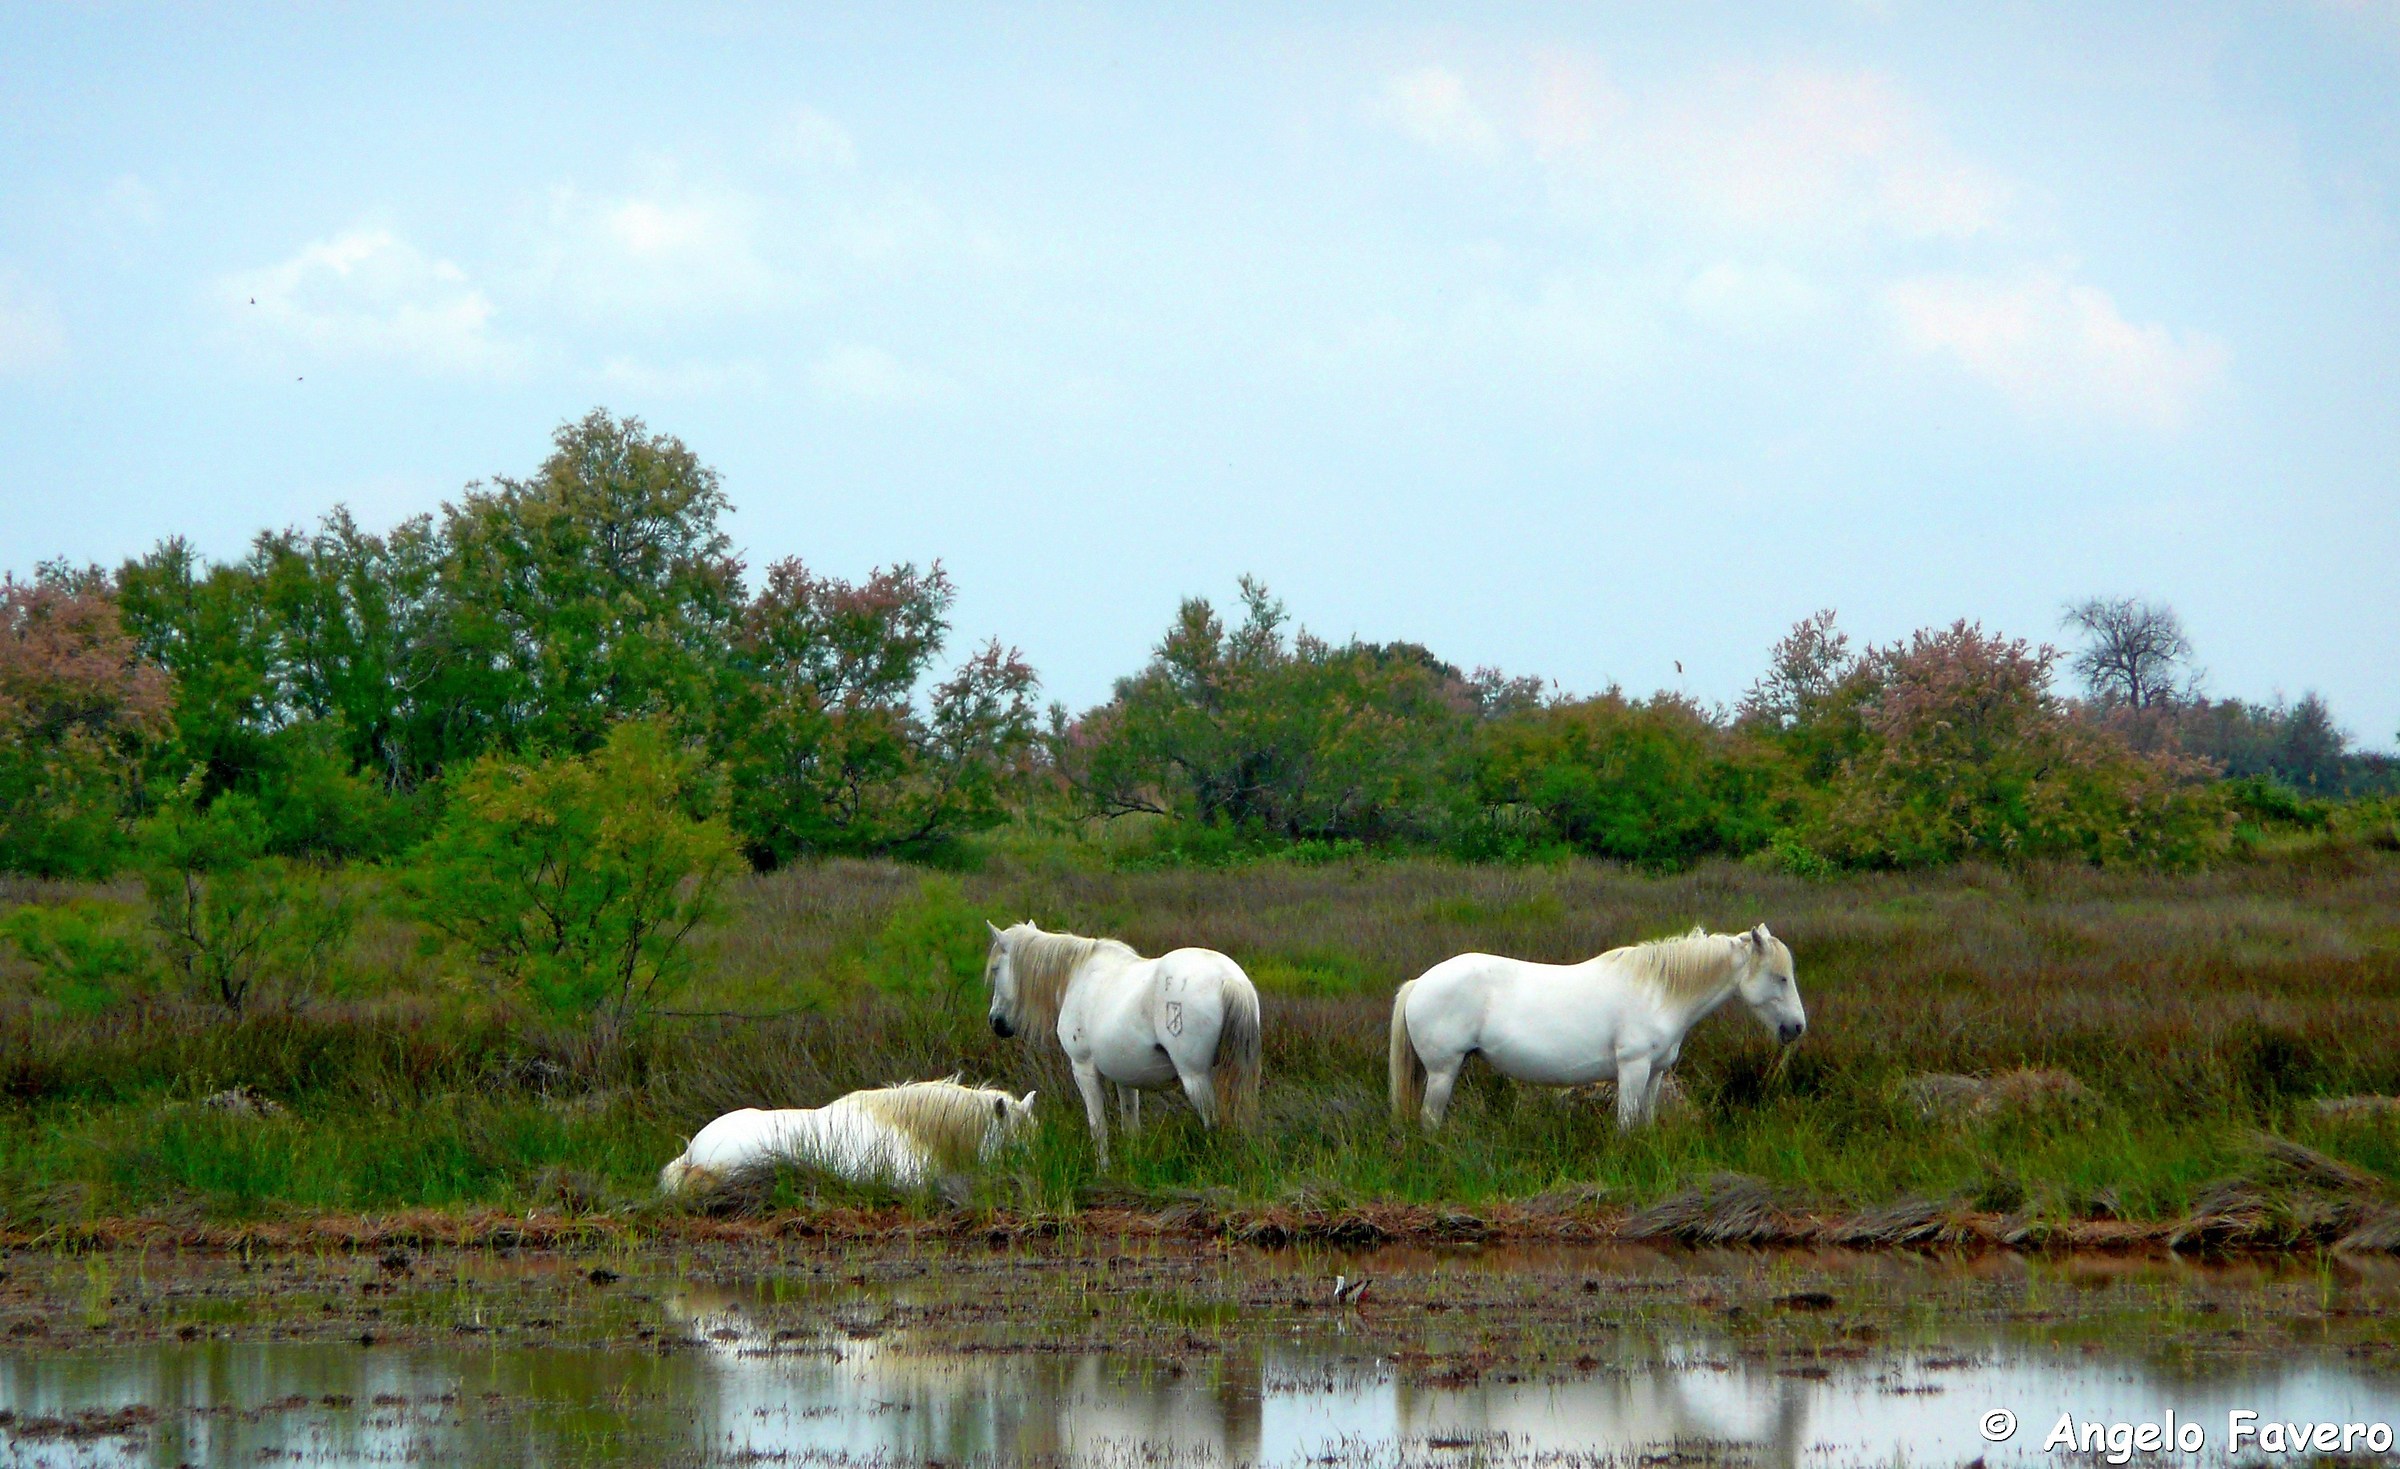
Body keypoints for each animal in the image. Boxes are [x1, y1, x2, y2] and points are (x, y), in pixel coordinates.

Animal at [983, 920, 1261, 1164]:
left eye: (996, 969)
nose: (996, 1022)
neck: (1078, 974)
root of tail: (1229, 980)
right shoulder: (1126, 1078)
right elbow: (1130, 1126)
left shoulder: (1083, 1068)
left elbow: (1098, 1127)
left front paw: (1103, 1168)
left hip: (1196, 1077)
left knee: (1214, 1123)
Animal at [1389, 924, 1805, 1132]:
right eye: (1781, 977)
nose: (1797, 1027)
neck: (1659, 991)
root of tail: (1420, 983)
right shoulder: (1633, 1068)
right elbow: (1625, 1124)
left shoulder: (1655, 1073)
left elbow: (1644, 1123)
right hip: (1443, 1071)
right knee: (1430, 1120)